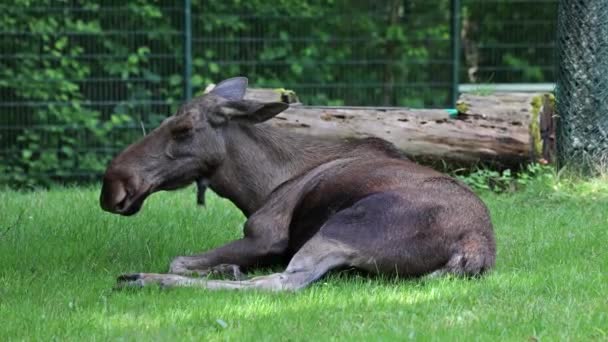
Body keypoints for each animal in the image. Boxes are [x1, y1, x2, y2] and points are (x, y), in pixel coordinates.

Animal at [100, 76, 496, 290]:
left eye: (182, 129)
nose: (112, 187)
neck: (258, 187)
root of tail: (474, 249)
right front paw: (227, 265)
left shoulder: (266, 235)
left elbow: (178, 260)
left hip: (342, 226)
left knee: (284, 283)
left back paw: (142, 279)